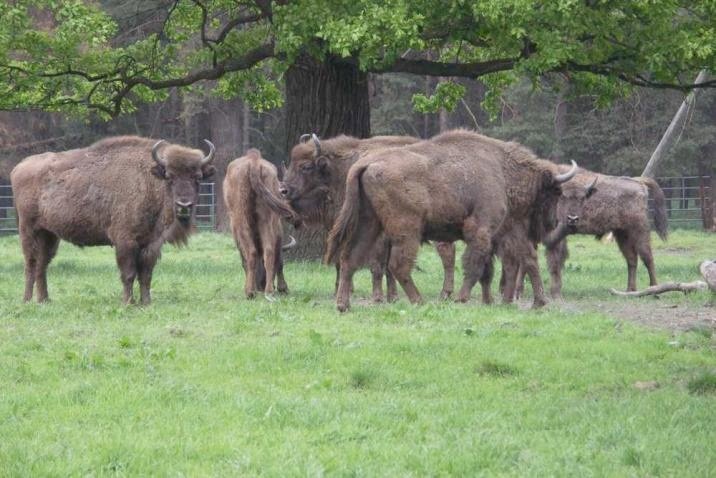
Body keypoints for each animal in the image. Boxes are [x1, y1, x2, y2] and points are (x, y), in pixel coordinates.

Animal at [10, 136, 215, 304]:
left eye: (198, 178)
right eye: (169, 177)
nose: (184, 205)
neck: (149, 180)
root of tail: (19, 167)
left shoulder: (152, 244)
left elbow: (146, 274)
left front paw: (146, 302)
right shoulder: (125, 241)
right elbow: (129, 274)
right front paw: (128, 302)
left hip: (49, 234)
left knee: (42, 265)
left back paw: (44, 300)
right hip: (28, 229)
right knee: (31, 263)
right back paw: (27, 300)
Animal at [224, 149, 302, 298]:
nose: (261, 284)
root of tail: (253, 161)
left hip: (245, 220)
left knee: (253, 252)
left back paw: (251, 291)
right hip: (266, 219)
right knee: (268, 251)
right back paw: (268, 291)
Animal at [282, 133, 462, 300]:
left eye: (306, 166)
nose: (283, 190)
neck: (339, 170)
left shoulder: (380, 236)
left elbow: (377, 265)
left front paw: (378, 297)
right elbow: (344, 260)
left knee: (447, 252)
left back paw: (445, 293)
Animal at [324, 129, 576, 312]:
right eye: (555, 192)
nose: (552, 222)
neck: (502, 169)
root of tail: (365, 164)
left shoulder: (508, 230)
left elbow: (523, 259)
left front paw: (537, 302)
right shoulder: (482, 229)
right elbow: (475, 265)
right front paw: (462, 298)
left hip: (369, 224)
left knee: (350, 259)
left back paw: (343, 305)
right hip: (407, 230)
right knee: (398, 265)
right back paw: (419, 301)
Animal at [544, 168, 672, 296]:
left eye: (583, 198)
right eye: (563, 196)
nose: (572, 218)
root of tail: (638, 181)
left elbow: (555, 261)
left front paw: (555, 291)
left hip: (639, 229)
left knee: (647, 257)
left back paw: (654, 290)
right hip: (622, 233)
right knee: (632, 259)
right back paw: (630, 290)